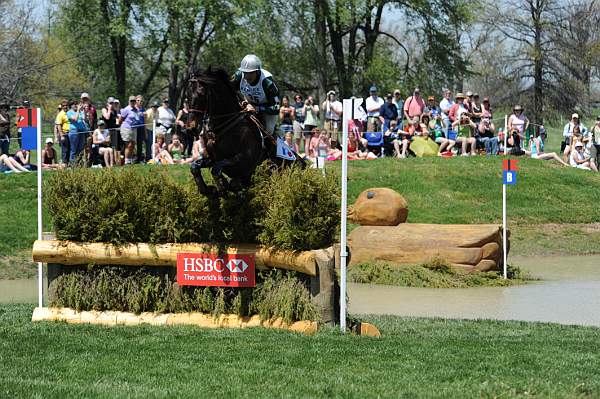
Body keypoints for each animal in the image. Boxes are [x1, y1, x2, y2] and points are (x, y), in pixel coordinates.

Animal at [186, 68, 304, 196]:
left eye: (201, 94)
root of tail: (303, 163)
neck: (222, 128)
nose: (191, 128)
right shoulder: (212, 157)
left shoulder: (243, 160)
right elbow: (194, 167)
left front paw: (222, 186)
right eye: (187, 96)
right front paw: (208, 189)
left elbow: (217, 169)